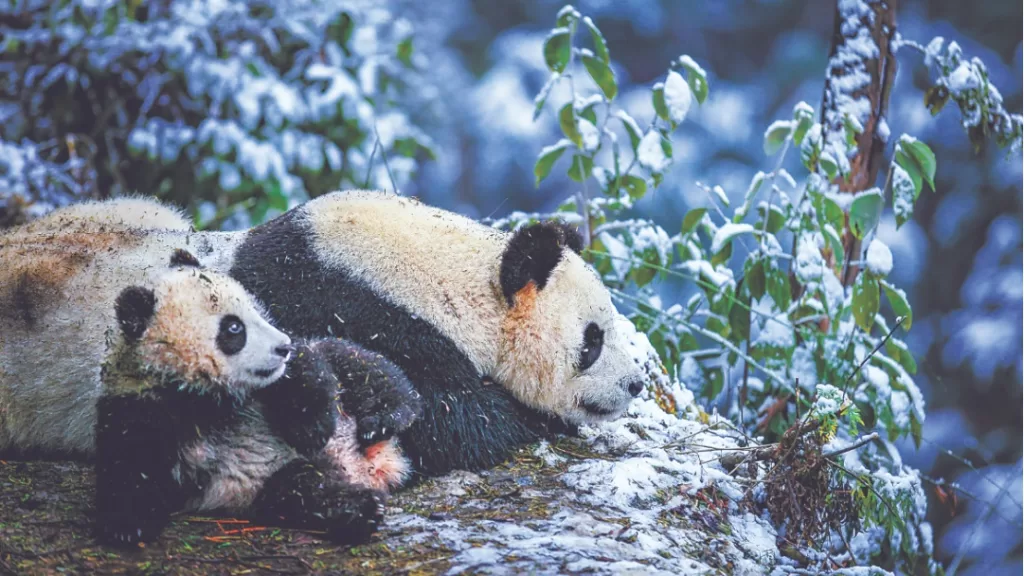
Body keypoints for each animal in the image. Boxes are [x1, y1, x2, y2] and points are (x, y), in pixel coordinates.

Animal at [96, 251, 422, 546]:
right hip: (269, 485)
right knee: (303, 492)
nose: (282, 347)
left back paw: (381, 420)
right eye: (234, 327)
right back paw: (361, 508)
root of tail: (371, 466)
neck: (208, 396)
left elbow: (307, 370)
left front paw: (312, 429)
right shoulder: (141, 405)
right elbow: (130, 465)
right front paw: (129, 525)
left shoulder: (283, 372)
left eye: (257, 311)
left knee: (359, 365)